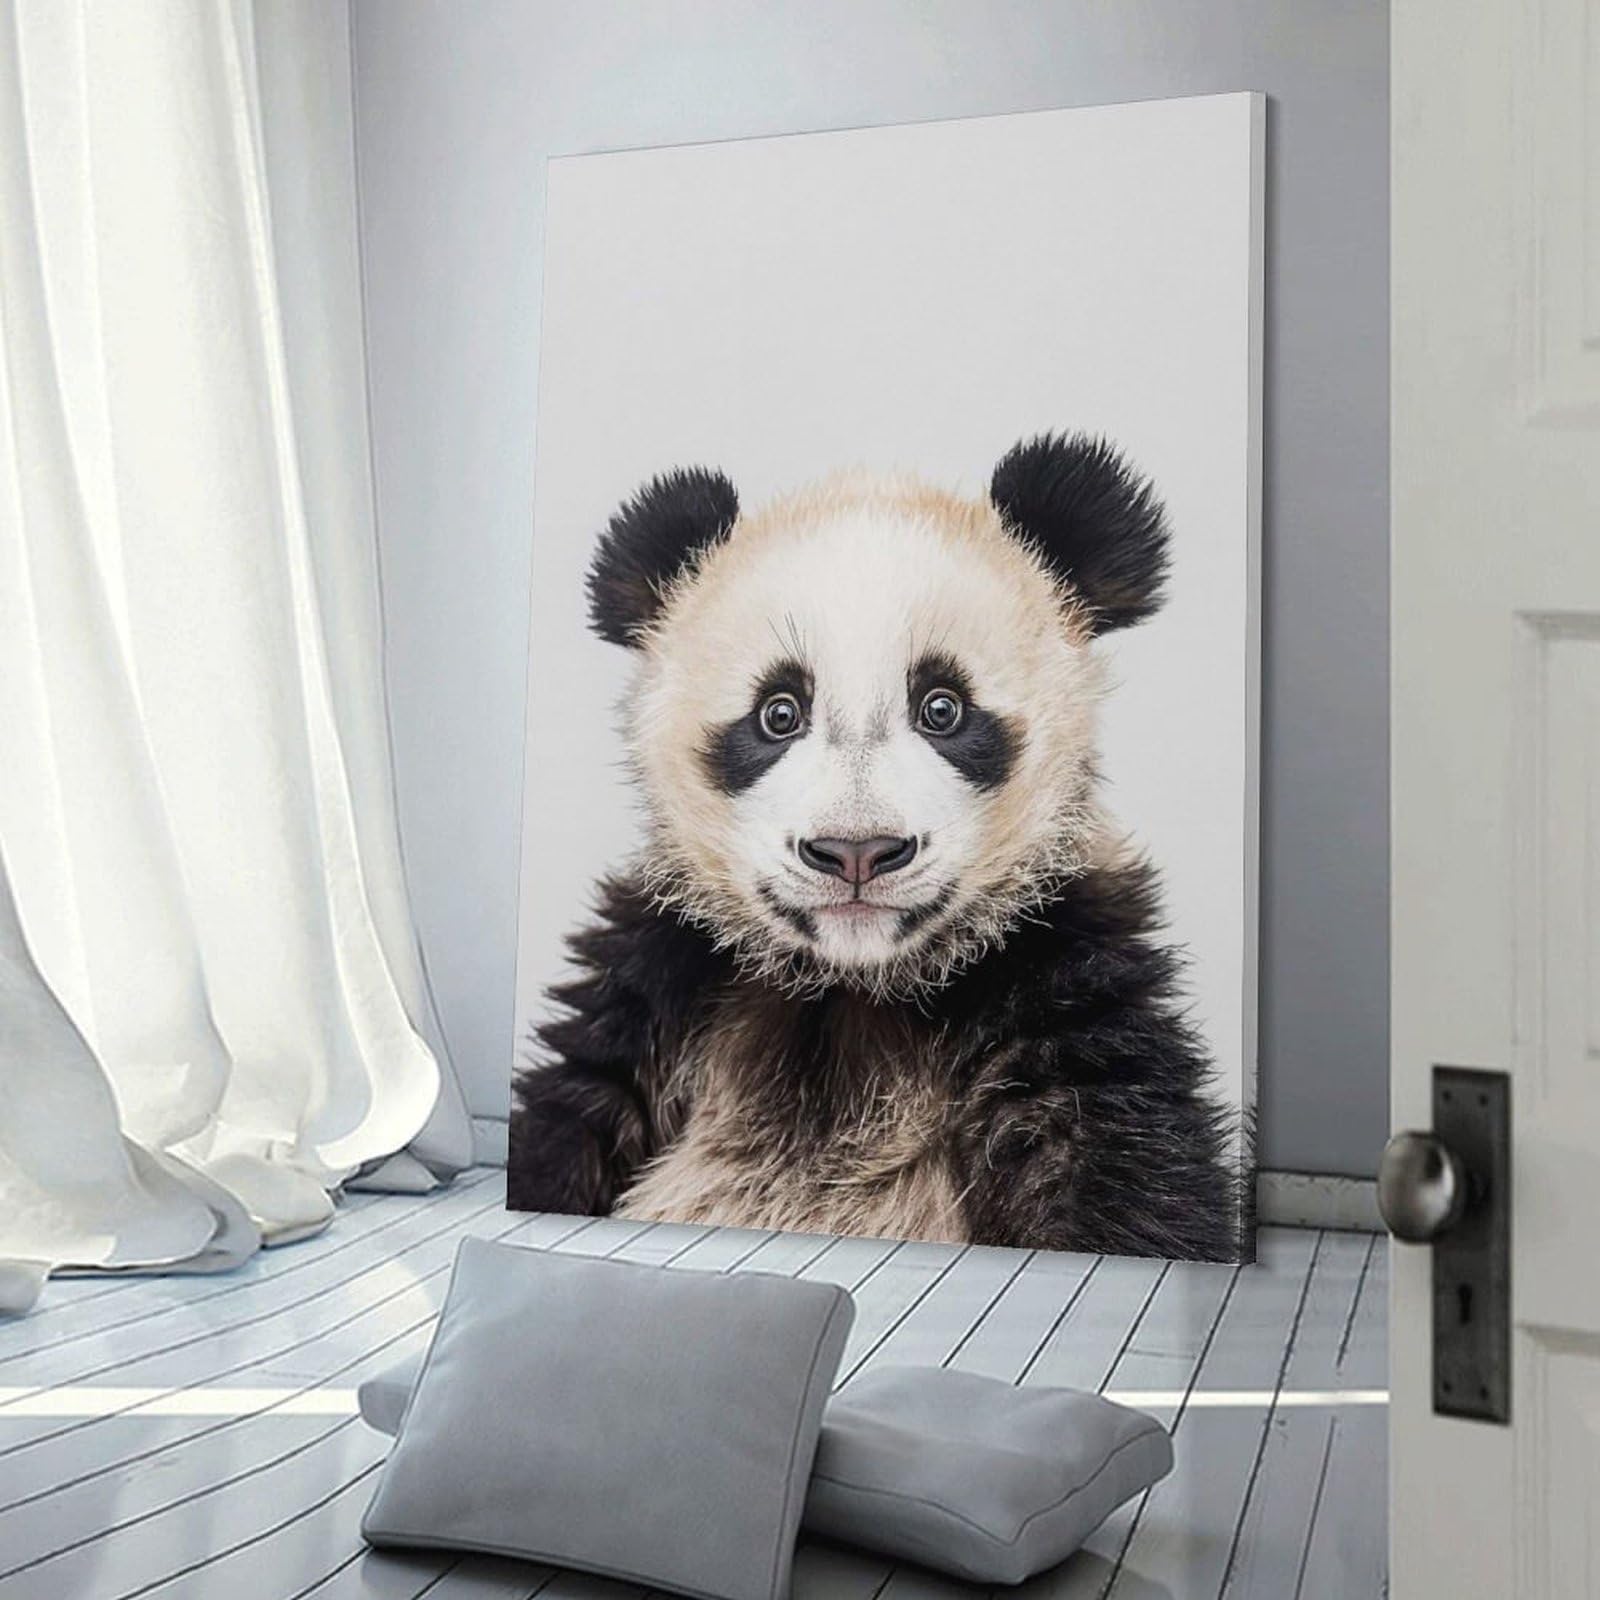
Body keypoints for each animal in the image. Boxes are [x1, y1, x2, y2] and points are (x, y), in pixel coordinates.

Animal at [509, 432, 1245, 1261]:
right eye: (779, 713)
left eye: (943, 708)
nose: (856, 851)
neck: (849, 986)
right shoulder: (666, 975)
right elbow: (574, 1113)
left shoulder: (1061, 967)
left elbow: (1115, 1164)